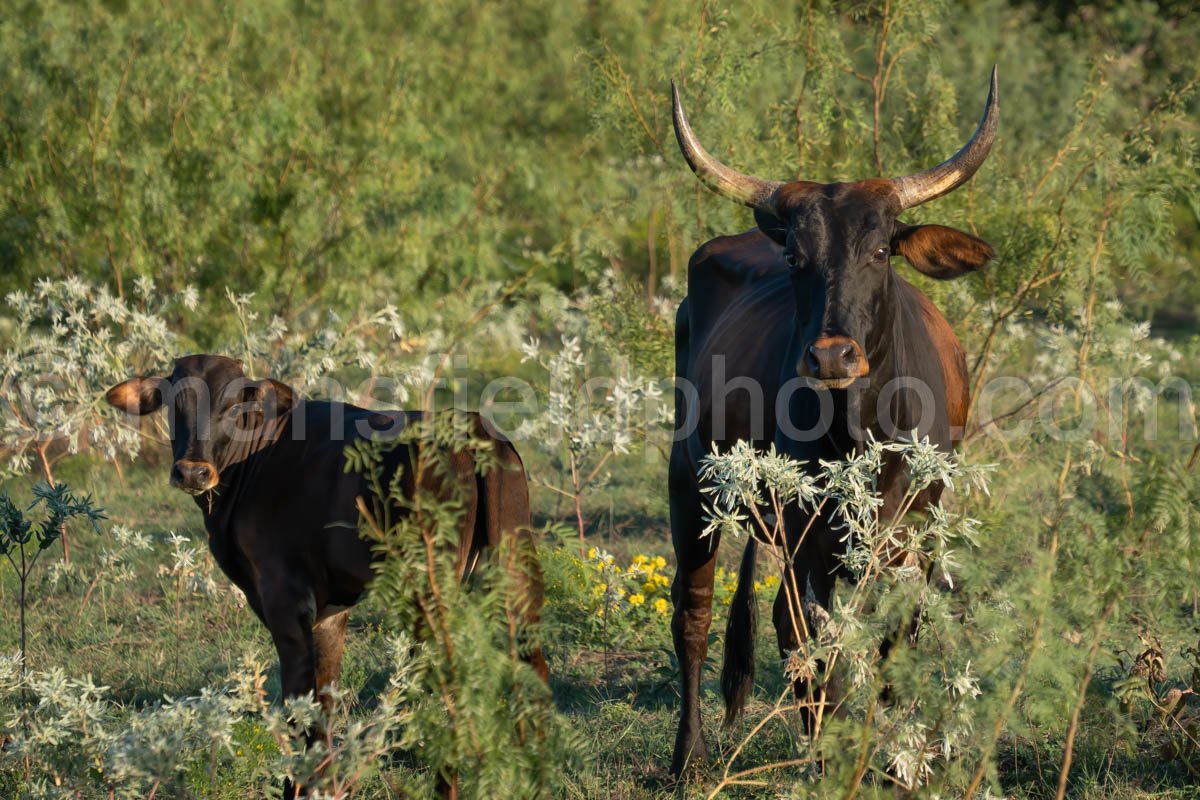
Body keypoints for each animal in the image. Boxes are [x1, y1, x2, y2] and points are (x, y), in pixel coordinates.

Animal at [662, 70, 998, 777]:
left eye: (881, 249)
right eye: (795, 257)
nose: (832, 356)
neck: (859, 430)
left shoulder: (914, 537)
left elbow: (897, 646)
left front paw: (896, 762)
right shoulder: (805, 537)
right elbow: (824, 647)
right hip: (691, 484)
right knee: (696, 617)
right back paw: (692, 756)